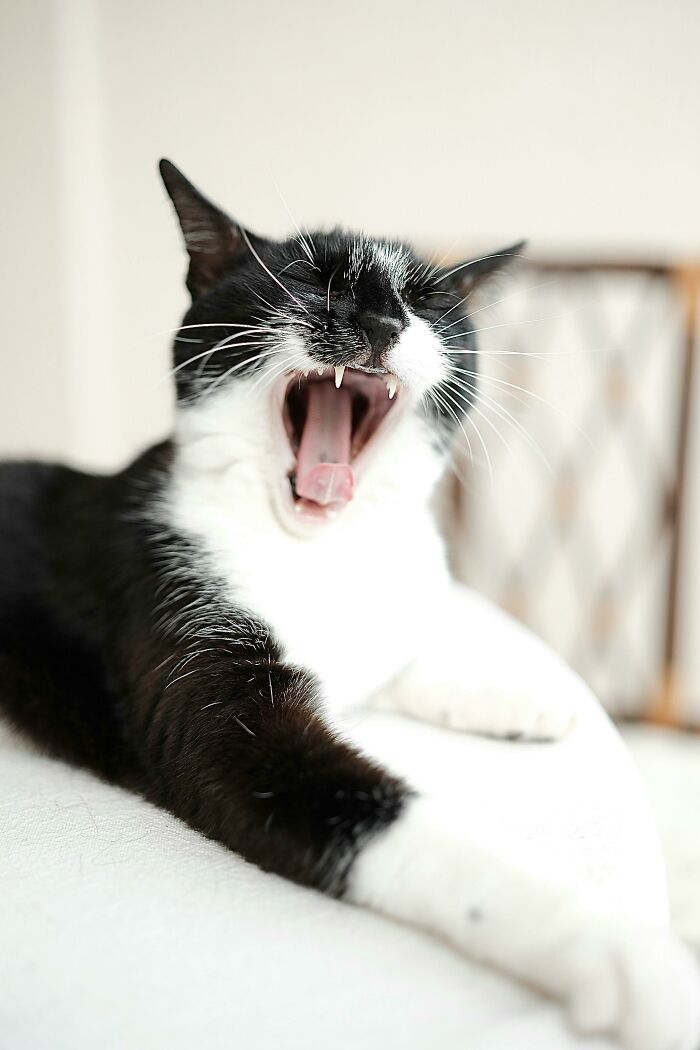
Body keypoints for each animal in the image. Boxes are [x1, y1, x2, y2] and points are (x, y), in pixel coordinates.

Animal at [0, 157, 696, 1050]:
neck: (320, 549)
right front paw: (619, 950)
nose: (377, 320)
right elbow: (400, 826)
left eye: (427, 302)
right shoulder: (198, 669)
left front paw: (517, 697)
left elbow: (397, 658)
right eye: (307, 278)